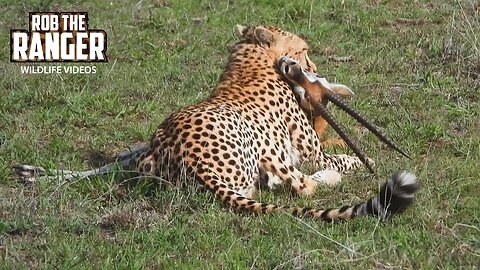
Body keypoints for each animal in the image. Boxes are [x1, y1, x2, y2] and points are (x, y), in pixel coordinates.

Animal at [15, 24, 418, 221]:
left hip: (149, 152)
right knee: (299, 186)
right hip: (264, 152)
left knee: (118, 164)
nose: (309, 66)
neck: (250, 58)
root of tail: (191, 160)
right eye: (303, 49)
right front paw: (360, 161)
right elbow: (343, 159)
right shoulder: (310, 151)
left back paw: (32, 173)